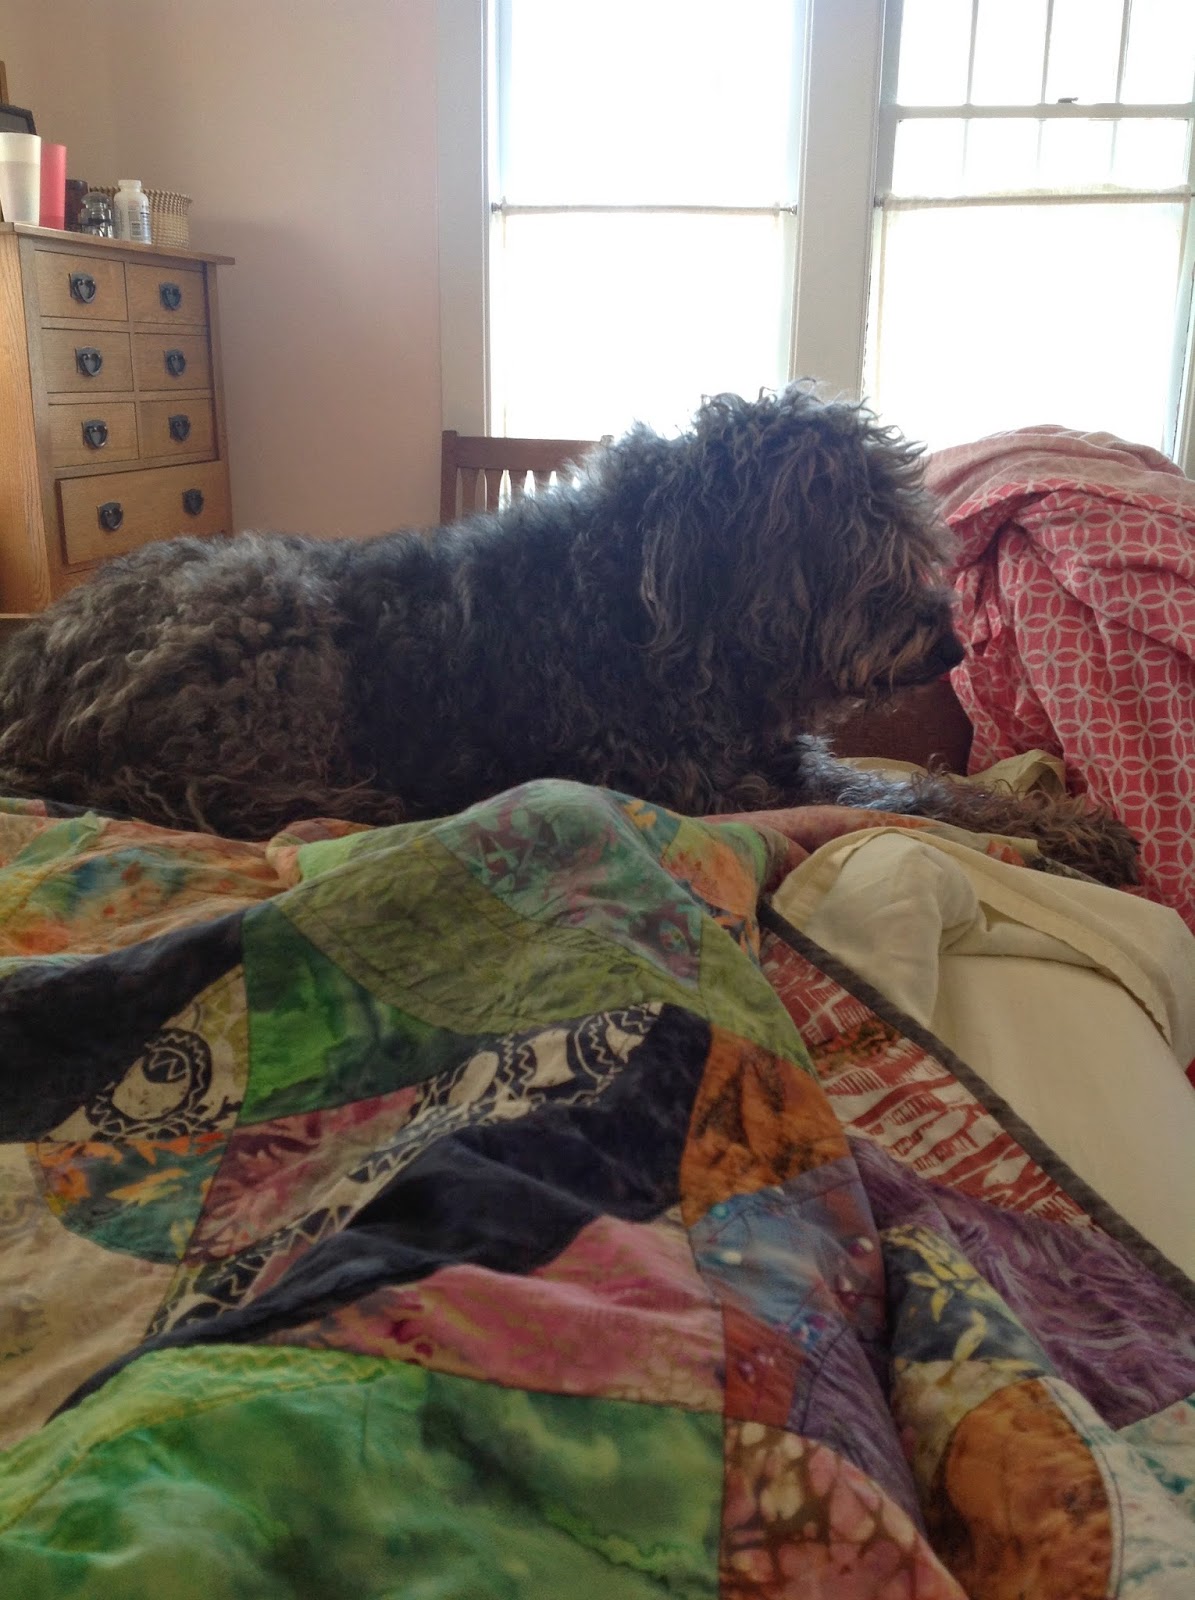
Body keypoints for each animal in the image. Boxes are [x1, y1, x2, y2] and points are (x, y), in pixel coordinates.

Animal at [0, 385, 1138, 885]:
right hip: (269, 620)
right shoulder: (716, 789)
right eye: (855, 536)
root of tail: (41, 660)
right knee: (217, 788)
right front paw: (1049, 831)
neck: (650, 614)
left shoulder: (781, 761)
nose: (949, 647)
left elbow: (932, 789)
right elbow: (912, 801)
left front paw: (1058, 818)